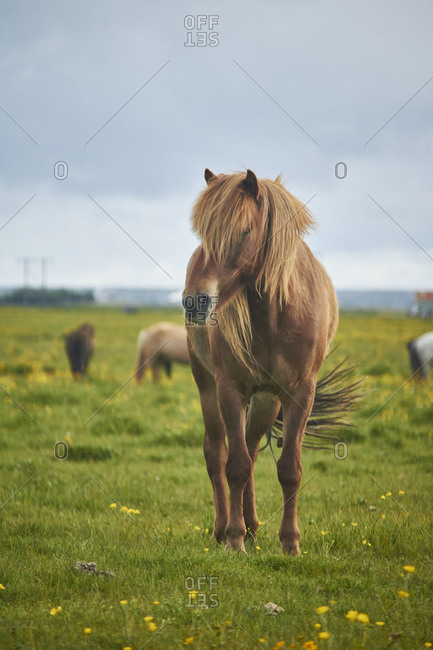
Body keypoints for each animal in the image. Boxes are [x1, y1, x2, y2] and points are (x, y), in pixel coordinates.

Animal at [183, 168, 359, 555]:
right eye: (202, 233)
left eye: (244, 232)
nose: (194, 302)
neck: (276, 315)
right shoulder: (229, 389)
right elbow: (233, 465)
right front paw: (233, 541)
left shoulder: (299, 393)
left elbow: (288, 468)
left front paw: (290, 543)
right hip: (207, 388)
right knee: (217, 453)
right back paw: (224, 528)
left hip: (266, 400)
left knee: (250, 450)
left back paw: (251, 526)